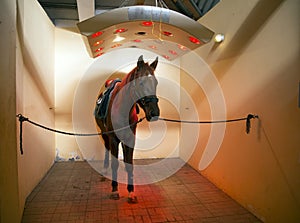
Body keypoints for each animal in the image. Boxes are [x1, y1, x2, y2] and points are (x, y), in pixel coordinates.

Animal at [95, 55, 161, 203]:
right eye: (141, 83)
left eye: (156, 83)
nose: (154, 113)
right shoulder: (113, 138)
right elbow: (115, 163)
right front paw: (115, 190)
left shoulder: (131, 138)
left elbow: (129, 162)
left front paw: (131, 191)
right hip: (104, 133)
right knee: (107, 148)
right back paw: (105, 170)